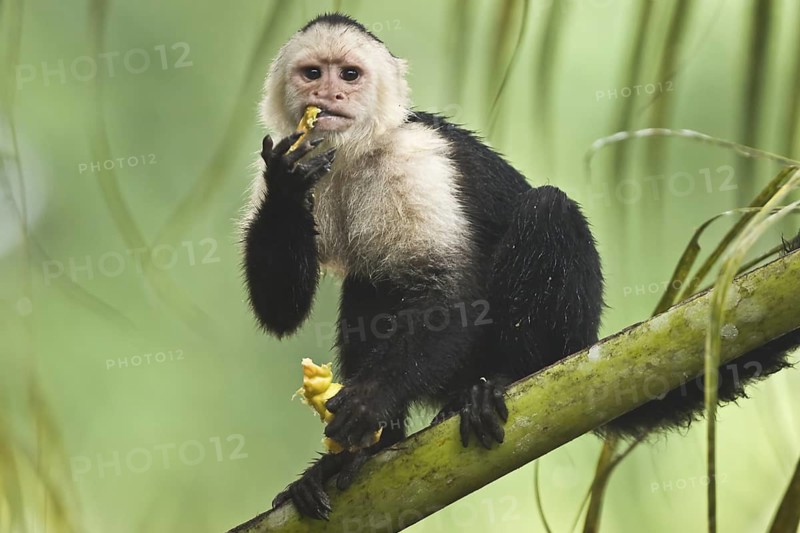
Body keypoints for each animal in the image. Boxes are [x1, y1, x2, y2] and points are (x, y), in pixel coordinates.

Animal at [240, 13, 799, 520]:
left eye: (350, 74)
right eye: (313, 73)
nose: (329, 95)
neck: (354, 154)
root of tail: (582, 344)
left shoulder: (416, 157)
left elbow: (449, 293)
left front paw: (371, 403)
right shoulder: (277, 162)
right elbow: (281, 309)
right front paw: (289, 185)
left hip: (562, 341)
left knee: (546, 210)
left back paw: (501, 380)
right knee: (371, 279)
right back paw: (370, 449)